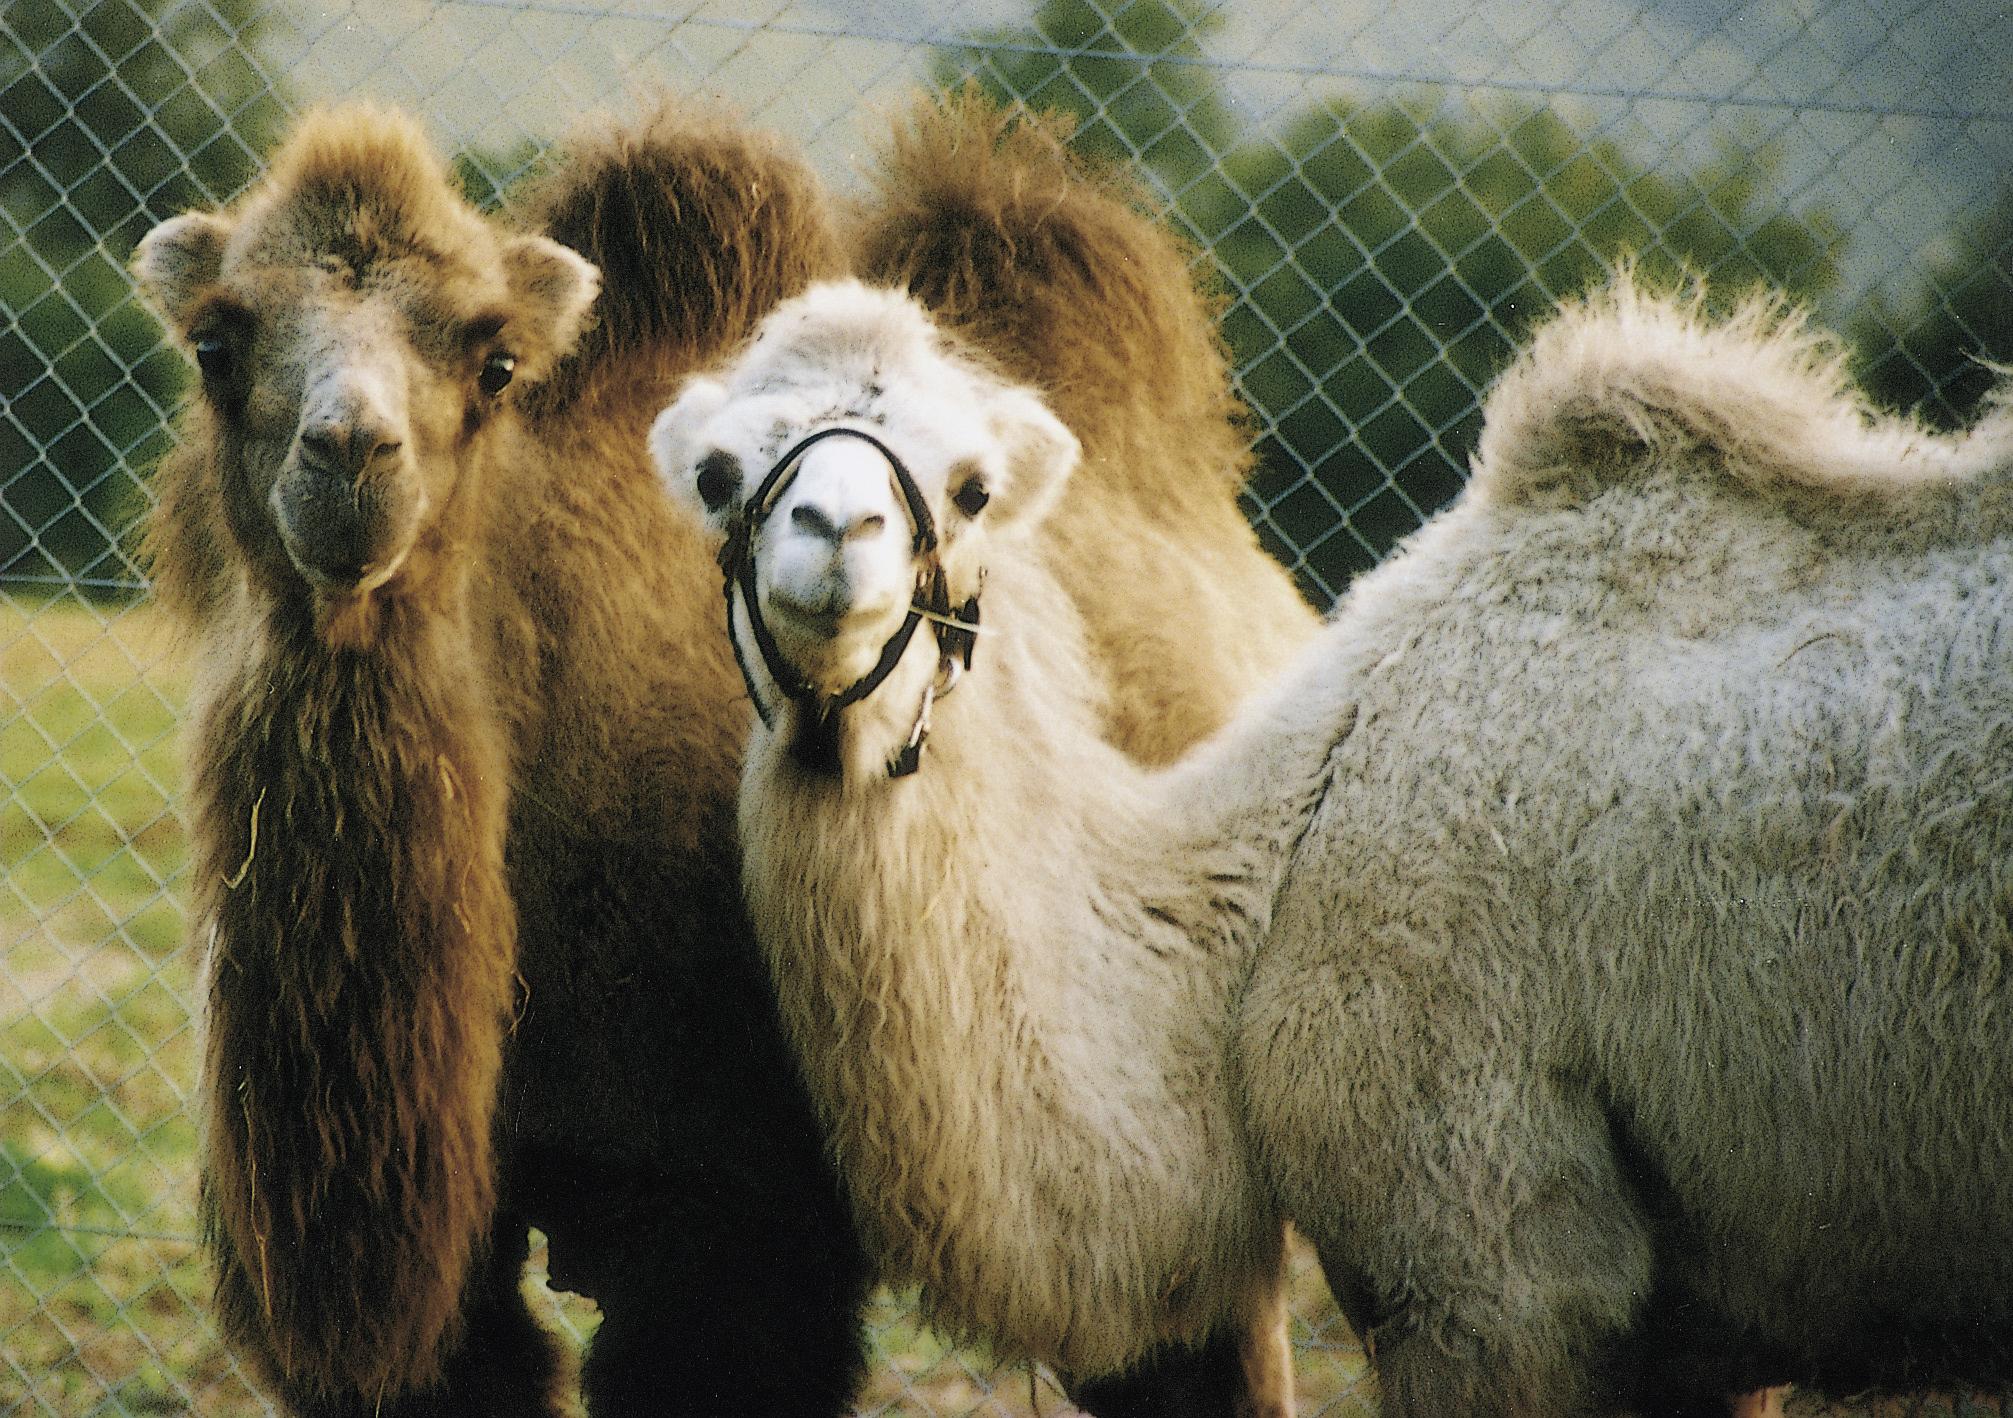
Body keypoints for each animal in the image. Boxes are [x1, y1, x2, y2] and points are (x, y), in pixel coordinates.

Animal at [648, 279, 2013, 1418]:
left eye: (974, 485)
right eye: (717, 473)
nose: (835, 529)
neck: (1262, 888)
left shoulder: (1485, 1259)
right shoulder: (1700, 1330)